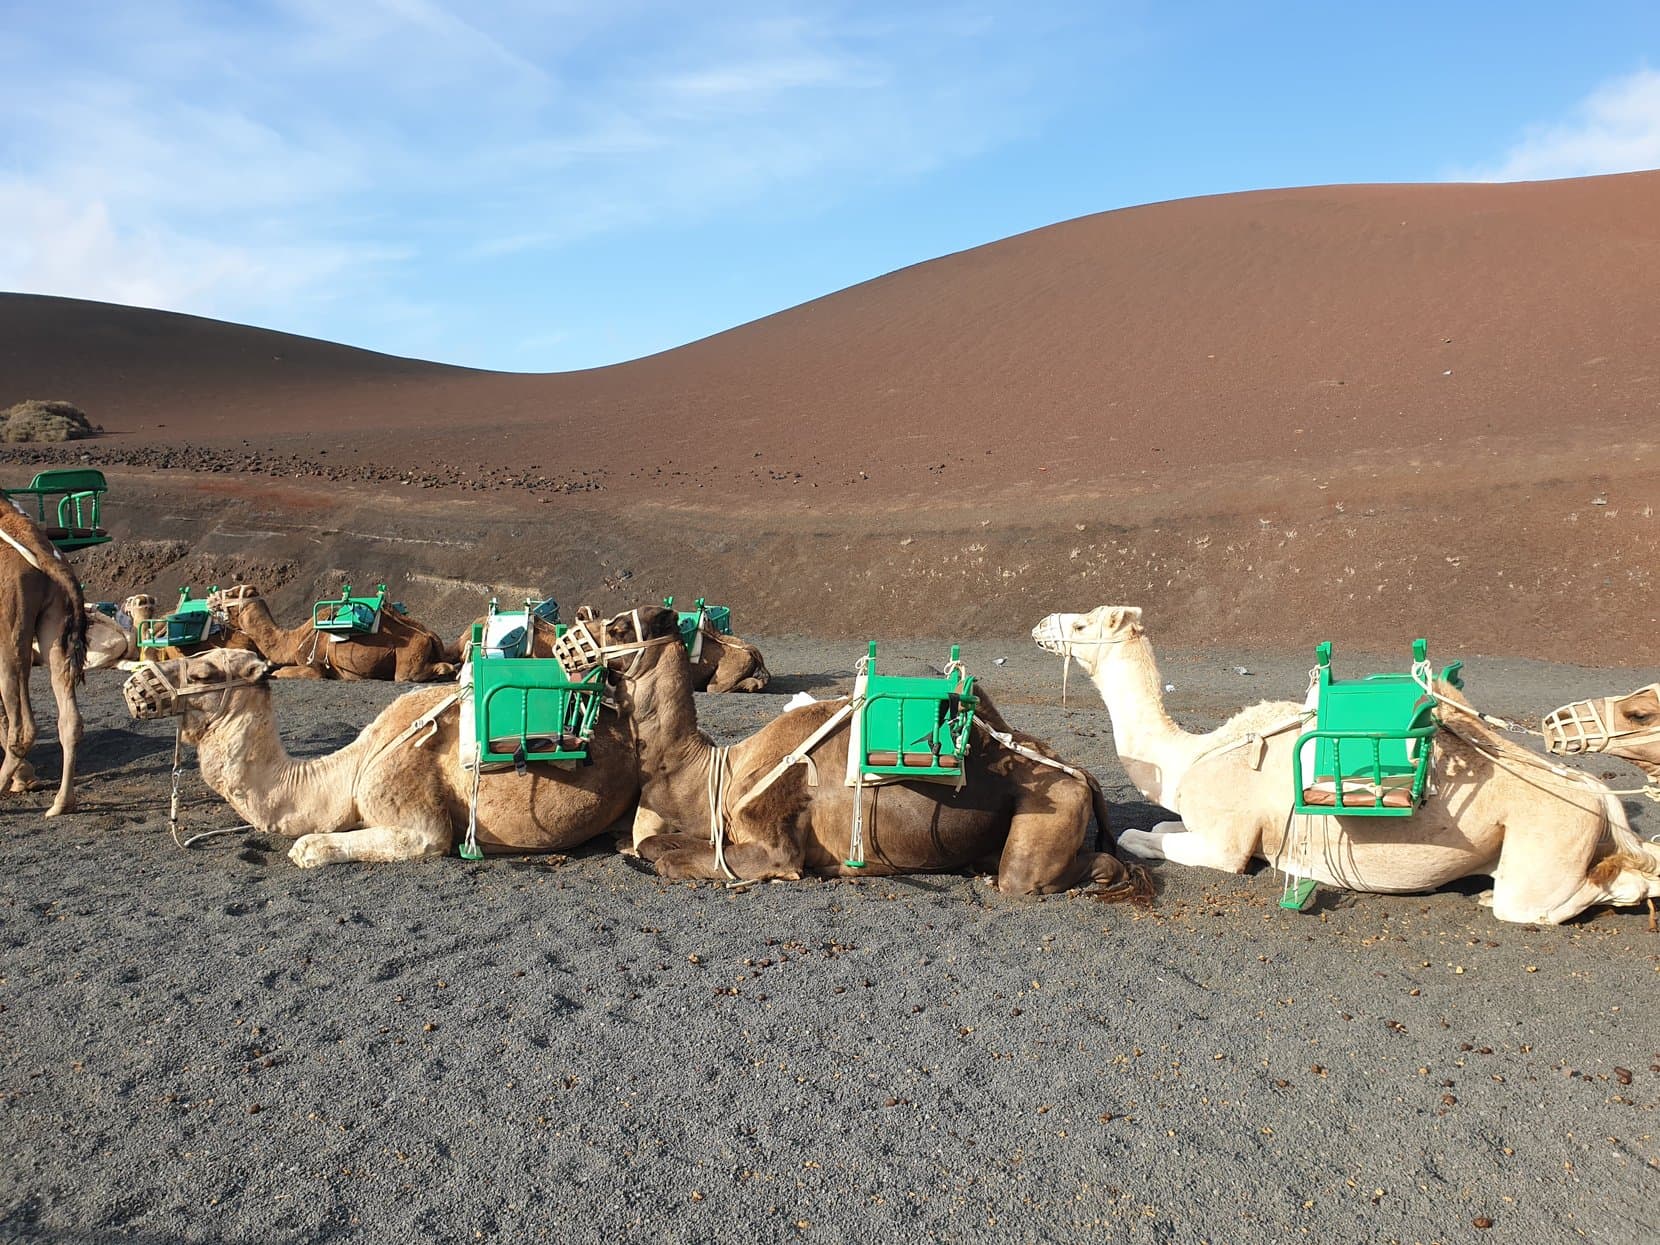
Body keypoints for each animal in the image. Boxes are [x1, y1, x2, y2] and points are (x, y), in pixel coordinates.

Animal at [121, 647, 638, 867]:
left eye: (204, 673)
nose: (133, 685)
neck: (351, 771)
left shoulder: (415, 816)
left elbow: (310, 848)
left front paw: (308, 849)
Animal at [207, 584, 456, 682]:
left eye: (231, 593)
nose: (210, 599)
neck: (294, 639)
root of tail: (430, 635)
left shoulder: (314, 664)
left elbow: (286, 672)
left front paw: (273, 671)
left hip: (410, 654)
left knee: (410, 675)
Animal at [581, 605, 1142, 896]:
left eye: (616, 626)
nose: (574, 638)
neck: (719, 773)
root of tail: (1079, 772)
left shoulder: (772, 846)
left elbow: (672, 862)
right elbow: (654, 845)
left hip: (1050, 813)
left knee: (1035, 875)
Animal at [1031, 606, 1660, 924]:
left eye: (1083, 624)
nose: (1040, 624)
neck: (1192, 756)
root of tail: (1597, 794)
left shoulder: (1226, 843)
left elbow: (1140, 837)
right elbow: (1159, 826)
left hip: (1544, 845)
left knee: (1566, 897)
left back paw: (1490, 897)